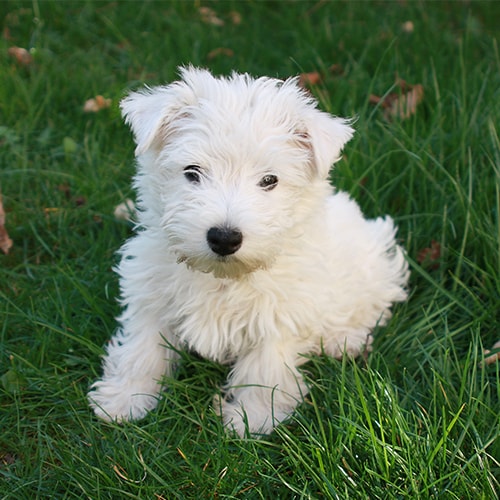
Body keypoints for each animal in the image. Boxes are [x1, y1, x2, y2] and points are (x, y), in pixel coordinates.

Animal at [89, 67, 410, 438]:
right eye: (192, 172)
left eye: (269, 180)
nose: (224, 237)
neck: (225, 276)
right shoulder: (151, 295)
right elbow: (142, 350)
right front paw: (124, 400)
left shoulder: (279, 316)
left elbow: (263, 370)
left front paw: (250, 419)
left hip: (372, 263)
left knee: (373, 306)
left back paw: (345, 340)